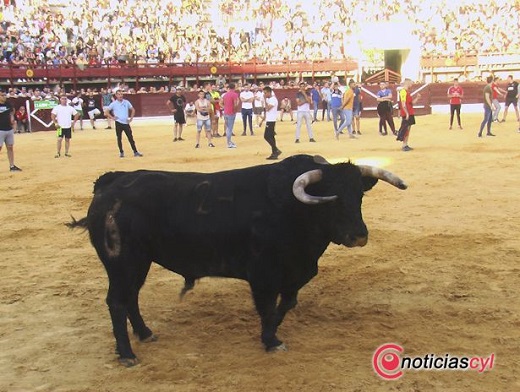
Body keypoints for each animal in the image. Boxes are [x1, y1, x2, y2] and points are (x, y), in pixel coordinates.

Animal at [67, 154, 406, 368]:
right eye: (330, 197)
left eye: (359, 196)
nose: (358, 235)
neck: (292, 208)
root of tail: (110, 184)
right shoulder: (263, 276)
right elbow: (267, 308)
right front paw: (270, 340)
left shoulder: (295, 273)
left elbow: (286, 304)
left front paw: (271, 335)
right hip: (123, 263)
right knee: (117, 302)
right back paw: (126, 353)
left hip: (138, 263)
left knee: (131, 298)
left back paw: (146, 334)